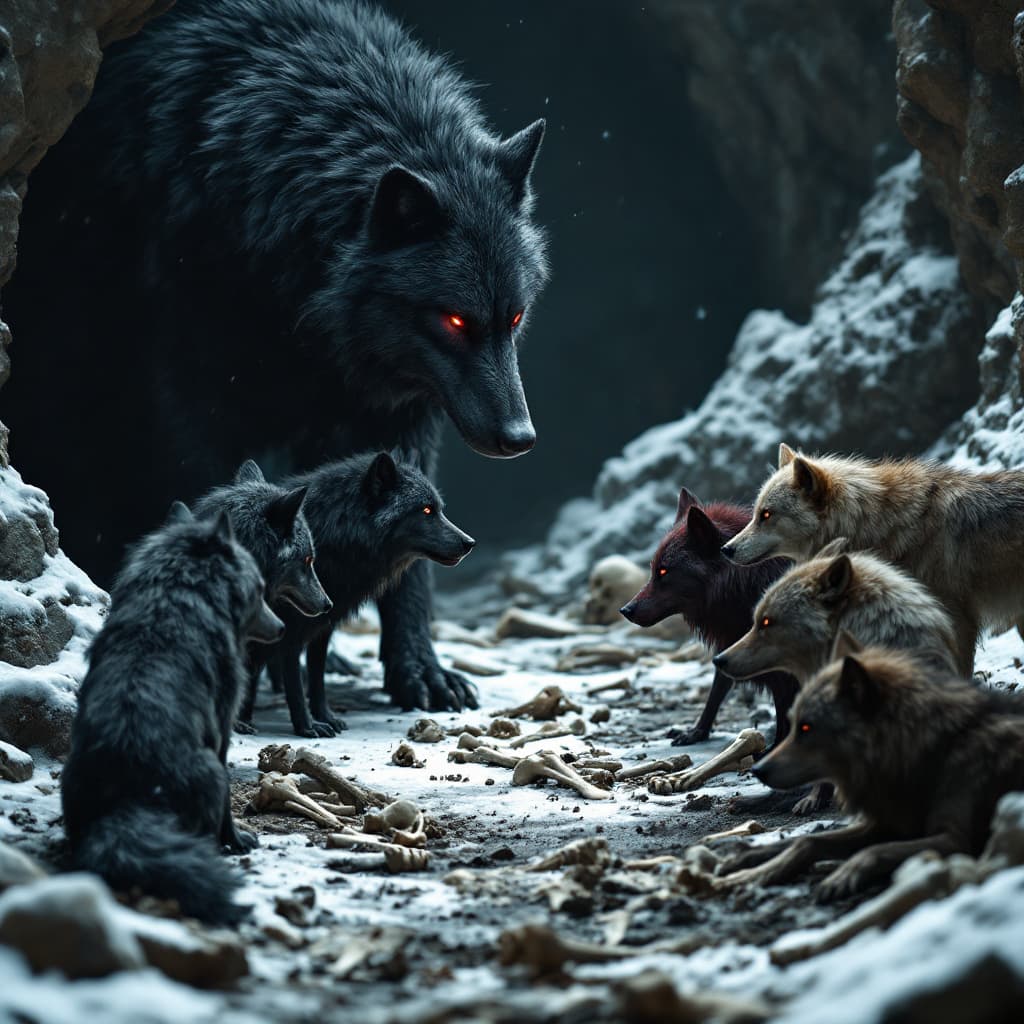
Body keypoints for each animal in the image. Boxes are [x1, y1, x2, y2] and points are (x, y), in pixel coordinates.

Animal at [60, 504, 285, 925]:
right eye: (261, 589)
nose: (281, 627)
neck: (175, 594)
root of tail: (126, 805)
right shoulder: (222, 733)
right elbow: (227, 815)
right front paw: (239, 840)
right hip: (212, 771)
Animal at [265, 452, 475, 737]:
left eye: (439, 509)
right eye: (426, 510)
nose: (470, 543)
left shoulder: (321, 630)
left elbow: (317, 680)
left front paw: (325, 717)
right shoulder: (293, 632)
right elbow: (296, 684)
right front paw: (306, 727)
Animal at [620, 488, 799, 747]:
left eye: (663, 571)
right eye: (653, 569)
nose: (626, 610)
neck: (748, 584)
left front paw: (776, 747)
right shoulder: (729, 646)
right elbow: (716, 692)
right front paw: (696, 732)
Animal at [719, 640, 1024, 900]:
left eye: (806, 727)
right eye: (794, 726)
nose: (758, 770)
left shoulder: (956, 840)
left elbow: (875, 851)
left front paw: (842, 876)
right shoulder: (885, 824)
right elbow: (806, 842)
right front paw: (748, 867)